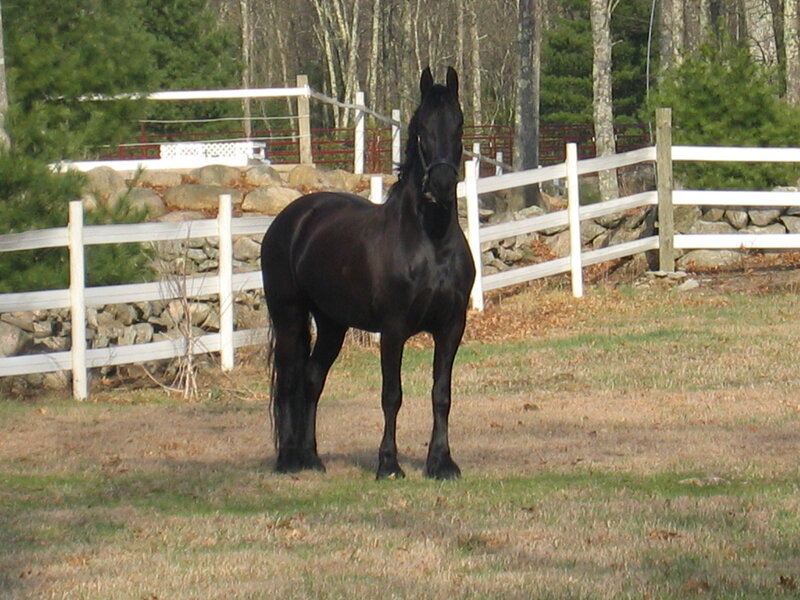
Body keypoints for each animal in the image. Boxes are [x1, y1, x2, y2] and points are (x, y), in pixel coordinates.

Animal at [260, 66, 475, 480]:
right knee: (290, 380)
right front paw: (388, 464)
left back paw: (312, 457)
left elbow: (442, 394)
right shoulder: (393, 329)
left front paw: (441, 463)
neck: (431, 241)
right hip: (289, 316)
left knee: (312, 379)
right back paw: (288, 459)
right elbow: (392, 395)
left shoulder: (451, 326)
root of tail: (292, 218)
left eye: (458, 123)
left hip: (332, 323)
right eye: (422, 127)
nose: (441, 185)